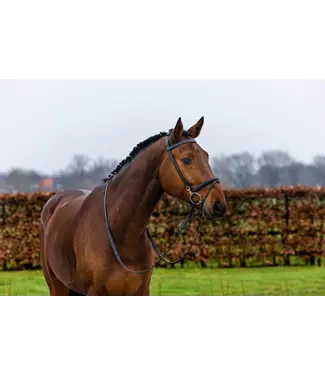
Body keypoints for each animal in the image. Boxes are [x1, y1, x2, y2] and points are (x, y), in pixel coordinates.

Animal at [39, 117, 227, 296]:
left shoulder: (141, 290)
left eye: (206, 156)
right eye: (186, 160)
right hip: (57, 286)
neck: (120, 233)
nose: (219, 205)